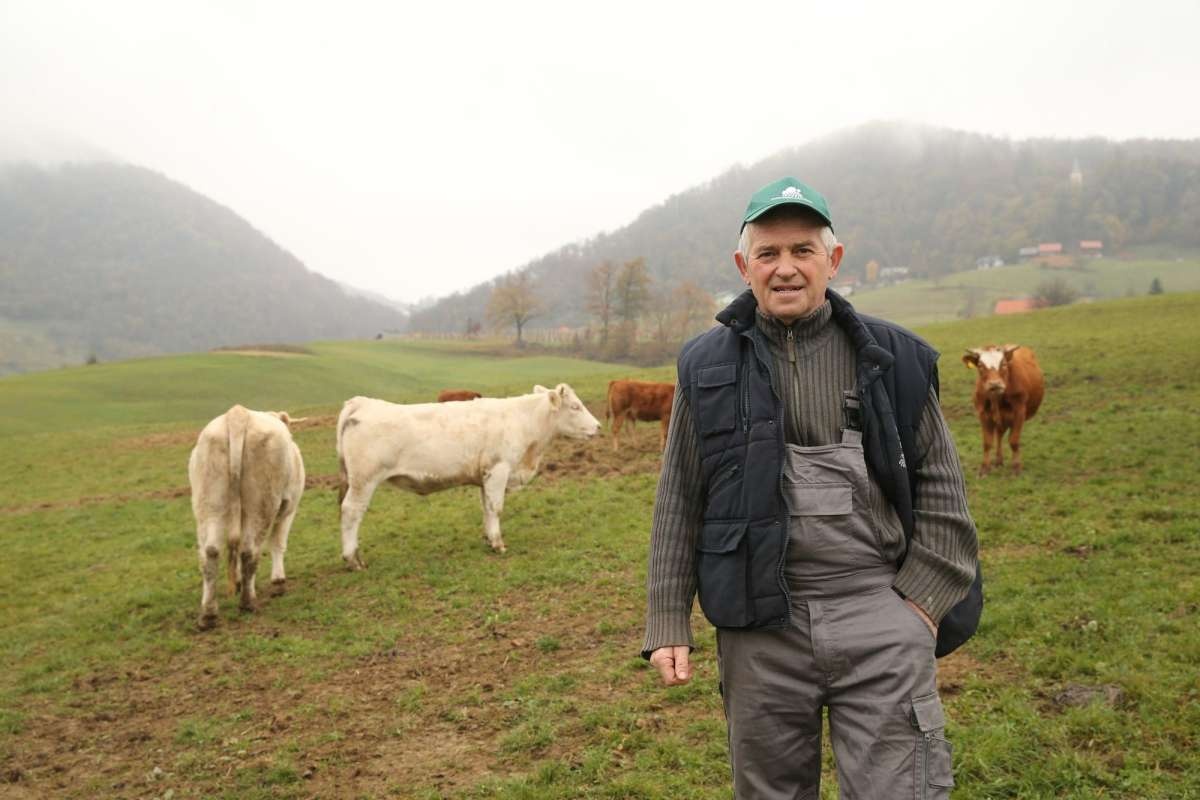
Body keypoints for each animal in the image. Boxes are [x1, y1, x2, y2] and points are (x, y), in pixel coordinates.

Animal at [188, 402, 307, 628]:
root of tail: (237, 414)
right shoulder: (288, 508)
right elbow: (278, 543)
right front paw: (278, 582)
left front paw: (239, 583)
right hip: (262, 504)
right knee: (249, 551)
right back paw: (247, 602)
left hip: (209, 505)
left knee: (211, 553)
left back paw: (208, 614)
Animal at [336, 383, 600, 566]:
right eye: (575, 406)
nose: (598, 426)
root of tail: (362, 402)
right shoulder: (499, 469)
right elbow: (496, 508)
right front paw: (498, 544)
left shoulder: (485, 476)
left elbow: (486, 507)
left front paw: (488, 538)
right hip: (363, 480)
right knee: (351, 512)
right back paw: (353, 559)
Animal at [960, 345, 1046, 474]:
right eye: (980, 365)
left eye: (1004, 364)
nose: (995, 384)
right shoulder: (983, 414)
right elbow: (987, 442)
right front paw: (984, 468)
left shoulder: (1019, 413)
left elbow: (1014, 441)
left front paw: (1016, 467)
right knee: (999, 434)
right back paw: (998, 461)